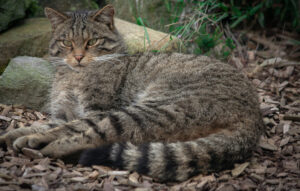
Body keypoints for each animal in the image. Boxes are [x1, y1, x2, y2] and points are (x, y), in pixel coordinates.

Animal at [0, 4, 262, 182]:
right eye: (66, 42)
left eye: (92, 41)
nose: (78, 57)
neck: (73, 76)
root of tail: (254, 118)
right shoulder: (63, 113)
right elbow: (45, 124)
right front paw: (14, 133)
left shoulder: (96, 110)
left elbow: (67, 127)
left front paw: (30, 137)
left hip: (147, 109)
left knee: (96, 136)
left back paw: (47, 147)